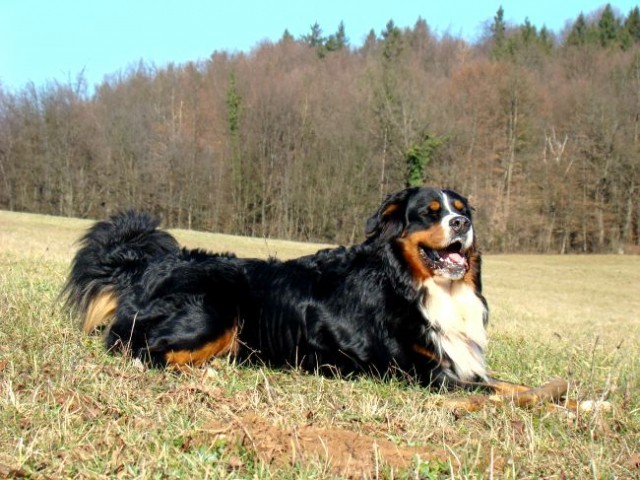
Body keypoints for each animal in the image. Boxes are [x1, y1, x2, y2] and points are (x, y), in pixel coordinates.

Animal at [62, 186, 556, 400]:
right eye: (430, 212)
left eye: (461, 208)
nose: (462, 223)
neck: (411, 283)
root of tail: (155, 266)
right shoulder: (423, 373)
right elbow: (502, 392)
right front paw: (551, 399)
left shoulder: (455, 363)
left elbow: (509, 382)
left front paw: (572, 398)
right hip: (213, 312)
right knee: (140, 348)